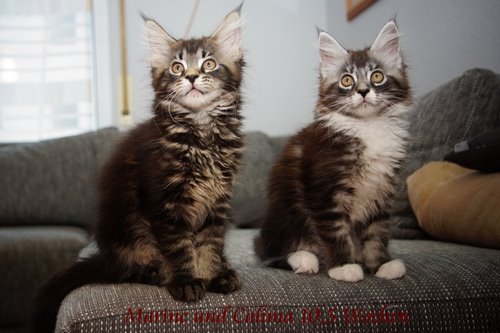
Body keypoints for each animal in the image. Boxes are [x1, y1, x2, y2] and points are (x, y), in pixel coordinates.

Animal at [34, 7, 245, 332]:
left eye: (209, 64)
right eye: (176, 68)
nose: (192, 77)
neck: (201, 134)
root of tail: (106, 257)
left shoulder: (217, 202)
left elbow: (210, 243)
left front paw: (212, 275)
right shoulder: (163, 202)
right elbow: (179, 246)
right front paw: (187, 281)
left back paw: (224, 270)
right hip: (128, 230)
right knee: (128, 269)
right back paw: (155, 273)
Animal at [256, 21, 412, 280]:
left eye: (377, 76)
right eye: (347, 81)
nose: (363, 91)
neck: (367, 126)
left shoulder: (381, 191)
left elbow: (377, 233)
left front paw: (381, 265)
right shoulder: (324, 191)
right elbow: (336, 232)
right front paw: (343, 267)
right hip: (285, 217)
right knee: (273, 254)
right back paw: (305, 259)